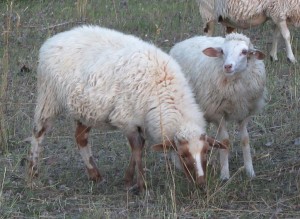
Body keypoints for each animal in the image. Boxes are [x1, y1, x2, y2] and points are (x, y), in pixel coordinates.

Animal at [29, 24, 226, 191]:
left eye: (207, 151)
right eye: (183, 155)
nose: (201, 184)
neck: (163, 90)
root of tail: (53, 39)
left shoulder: (141, 121)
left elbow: (139, 148)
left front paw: (129, 179)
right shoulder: (127, 120)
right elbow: (137, 149)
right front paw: (140, 184)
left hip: (85, 109)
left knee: (80, 138)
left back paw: (94, 174)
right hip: (48, 98)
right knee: (38, 134)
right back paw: (33, 173)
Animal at [170, 32, 266, 180]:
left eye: (244, 52)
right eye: (222, 51)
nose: (227, 66)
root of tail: (182, 42)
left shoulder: (245, 113)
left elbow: (245, 140)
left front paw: (250, 171)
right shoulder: (218, 114)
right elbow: (225, 141)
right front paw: (225, 174)